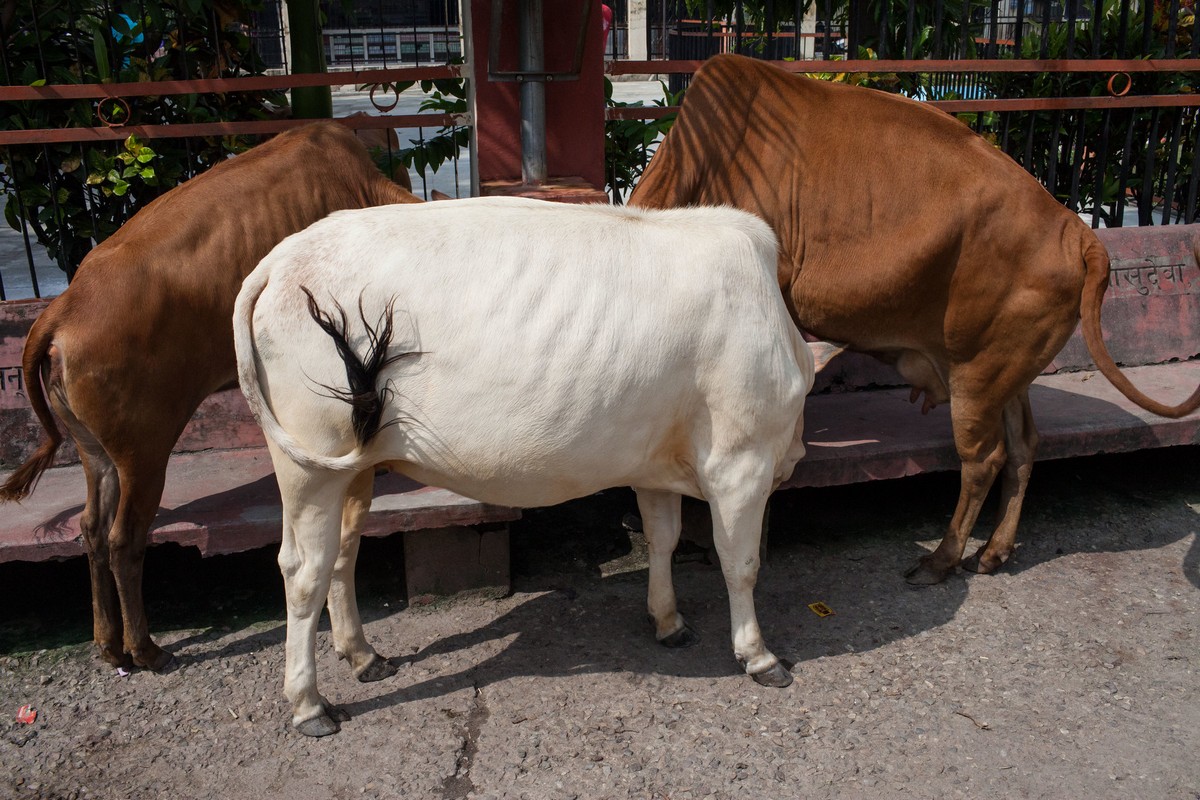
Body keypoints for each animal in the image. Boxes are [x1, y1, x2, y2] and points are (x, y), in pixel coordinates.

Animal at [1, 120, 422, 676]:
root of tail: (60, 309)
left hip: (96, 451)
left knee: (91, 530)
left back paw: (108, 642)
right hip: (144, 452)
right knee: (123, 541)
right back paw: (145, 648)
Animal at [234, 199, 816, 738]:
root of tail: (283, 257)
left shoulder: (655, 462)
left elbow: (664, 539)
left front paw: (668, 619)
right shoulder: (740, 461)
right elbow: (740, 563)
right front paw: (758, 655)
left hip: (353, 466)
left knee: (342, 552)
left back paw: (362, 655)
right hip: (311, 463)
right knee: (303, 571)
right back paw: (308, 704)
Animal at [628, 54, 1190, 582]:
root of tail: (1077, 230)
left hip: (977, 378)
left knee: (983, 459)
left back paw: (942, 558)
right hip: (1007, 372)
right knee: (1024, 447)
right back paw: (994, 552)